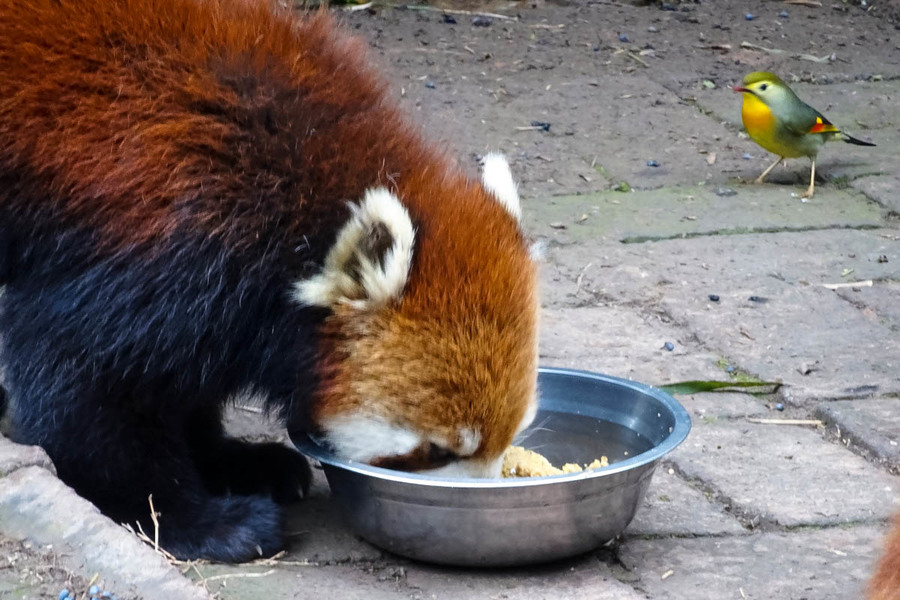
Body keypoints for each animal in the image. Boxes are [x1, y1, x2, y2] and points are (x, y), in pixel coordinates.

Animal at [0, 0, 540, 564]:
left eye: (514, 433)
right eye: (436, 449)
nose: (482, 504)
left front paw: (232, 461)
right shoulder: (164, 238)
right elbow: (88, 385)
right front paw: (198, 520)